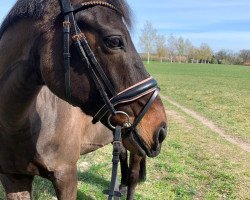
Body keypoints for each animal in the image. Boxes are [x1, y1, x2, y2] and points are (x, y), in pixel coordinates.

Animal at [0, 0, 167, 199]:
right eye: (114, 41)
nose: (161, 129)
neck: (18, 124)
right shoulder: (13, 178)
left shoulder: (66, 176)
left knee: (134, 177)